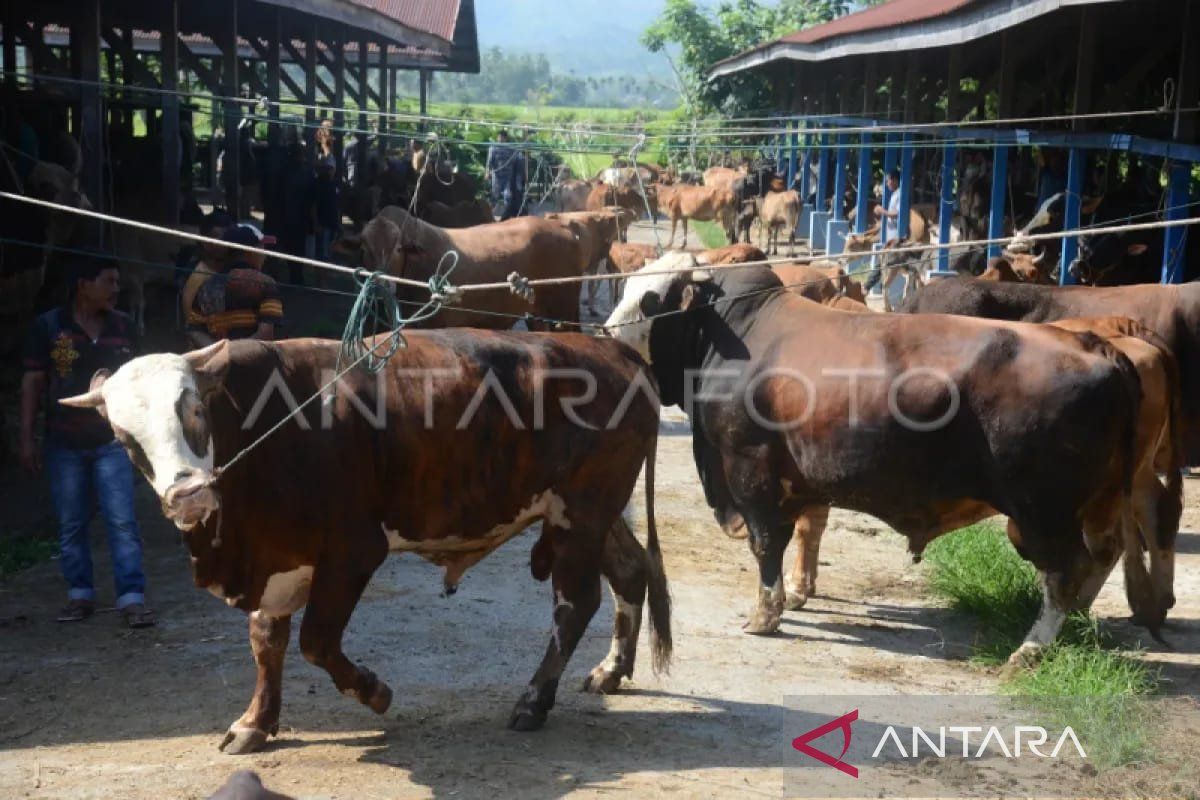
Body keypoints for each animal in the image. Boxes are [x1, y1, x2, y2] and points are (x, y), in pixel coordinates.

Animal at [63, 335, 667, 753]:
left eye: (192, 410)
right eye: (123, 437)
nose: (188, 495)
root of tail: (611, 348)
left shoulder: (351, 552)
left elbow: (315, 641)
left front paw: (374, 691)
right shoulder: (279, 561)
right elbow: (266, 641)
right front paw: (255, 723)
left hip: (579, 517)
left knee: (575, 605)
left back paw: (534, 700)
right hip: (595, 516)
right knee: (630, 573)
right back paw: (611, 670)